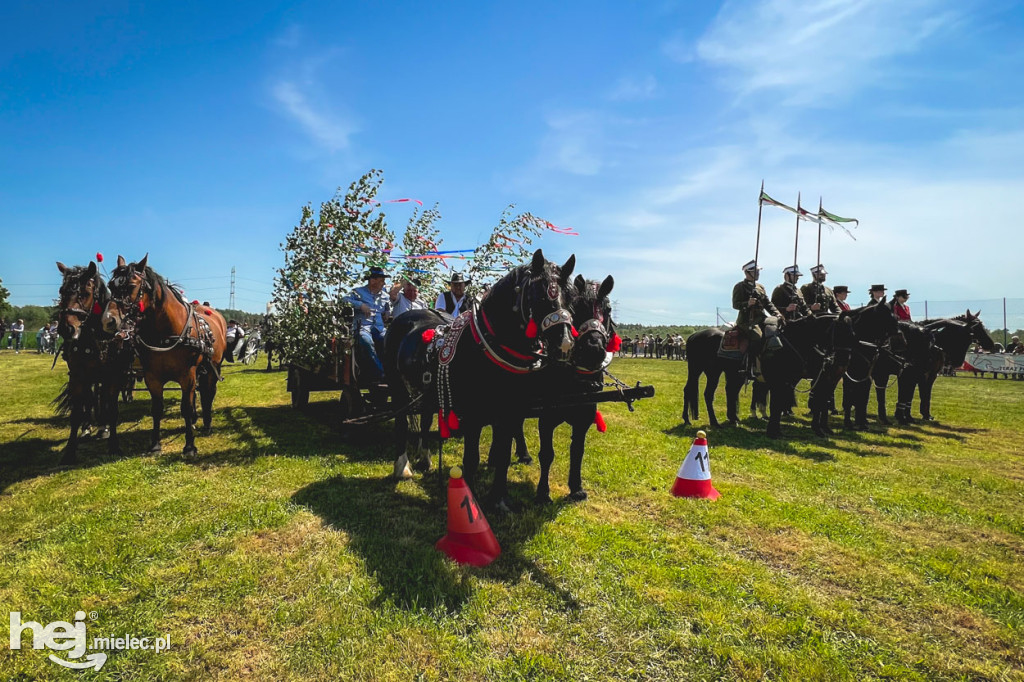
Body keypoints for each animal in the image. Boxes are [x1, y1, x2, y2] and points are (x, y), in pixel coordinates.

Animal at [52, 260, 132, 462]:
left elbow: (112, 410)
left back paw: (102, 427)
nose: (66, 329)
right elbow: (77, 412)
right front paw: (70, 451)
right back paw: (89, 428)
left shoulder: (114, 376)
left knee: (101, 398)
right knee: (90, 399)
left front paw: (114, 445)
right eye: (62, 291)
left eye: (85, 293)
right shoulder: (78, 376)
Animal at [101, 254, 226, 456]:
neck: (166, 334)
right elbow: (157, 409)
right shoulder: (153, 377)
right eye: (111, 286)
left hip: (212, 368)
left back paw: (206, 423)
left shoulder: (188, 376)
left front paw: (189, 446)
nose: (108, 321)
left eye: (131, 286)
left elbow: (185, 407)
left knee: (208, 393)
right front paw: (155, 444)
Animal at [385, 246, 577, 507]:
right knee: (402, 423)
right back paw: (402, 467)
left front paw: (499, 499)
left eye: (570, 298)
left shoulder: (509, 412)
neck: (486, 347)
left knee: (424, 419)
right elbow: (471, 459)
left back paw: (425, 458)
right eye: (540, 297)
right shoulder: (472, 415)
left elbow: (503, 455)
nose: (565, 345)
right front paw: (471, 499)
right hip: (397, 387)